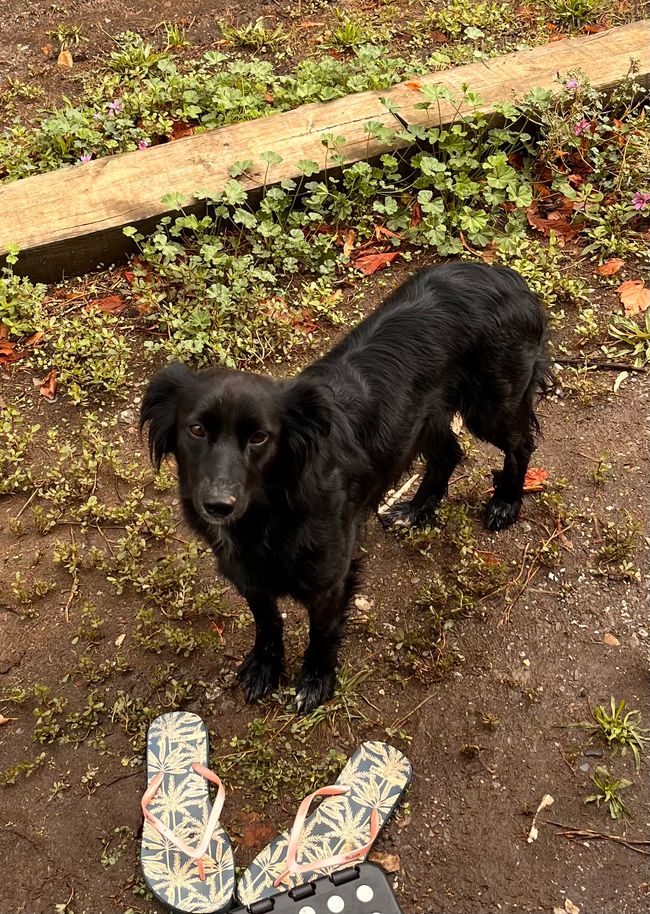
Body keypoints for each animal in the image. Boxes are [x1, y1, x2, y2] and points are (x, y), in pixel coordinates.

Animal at [140, 260, 548, 708]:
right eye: (196, 430)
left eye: (260, 437)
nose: (217, 505)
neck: (271, 507)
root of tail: (507, 276)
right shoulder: (250, 577)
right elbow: (267, 623)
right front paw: (265, 666)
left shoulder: (330, 578)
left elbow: (321, 633)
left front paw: (316, 680)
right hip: (423, 418)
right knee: (449, 454)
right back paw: (417, 509)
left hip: (490, 407)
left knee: (520, 444)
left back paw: (506, 502)